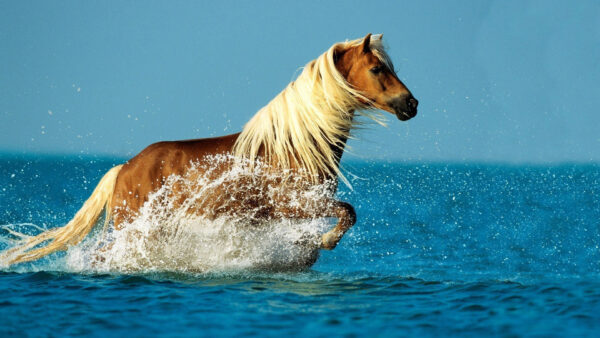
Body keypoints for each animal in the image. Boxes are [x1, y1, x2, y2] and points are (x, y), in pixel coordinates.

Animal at [2, 33, 418, 266]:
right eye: (378, 69)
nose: (411, 104)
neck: (294, 147)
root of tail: (123, 168)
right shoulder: (295, 204)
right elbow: (348, 213)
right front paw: (327, 241)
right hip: (134, 227)